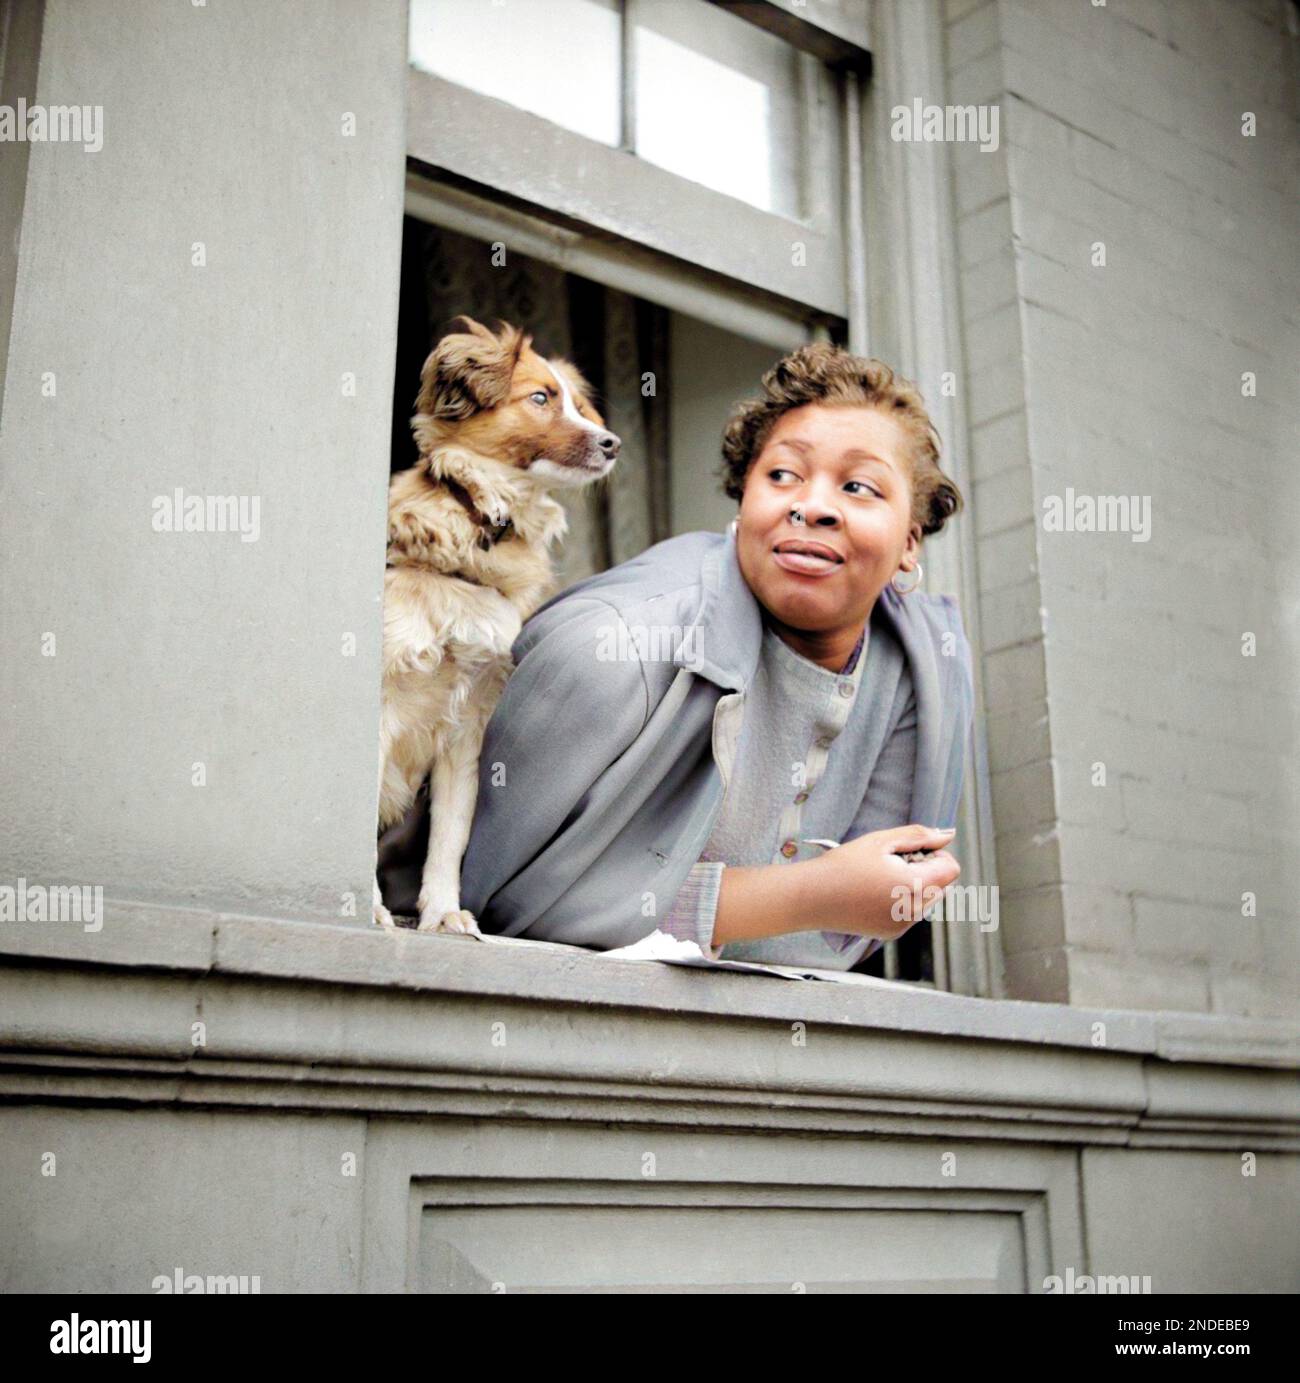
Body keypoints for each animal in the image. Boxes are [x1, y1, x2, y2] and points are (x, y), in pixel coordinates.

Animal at [376, 318, 619, 934]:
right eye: (540, 398)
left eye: (578, 403)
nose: (613, 444)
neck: (477, 527)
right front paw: (364, 906)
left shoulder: (467, 723)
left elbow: (451, 835)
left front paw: (442, 913)